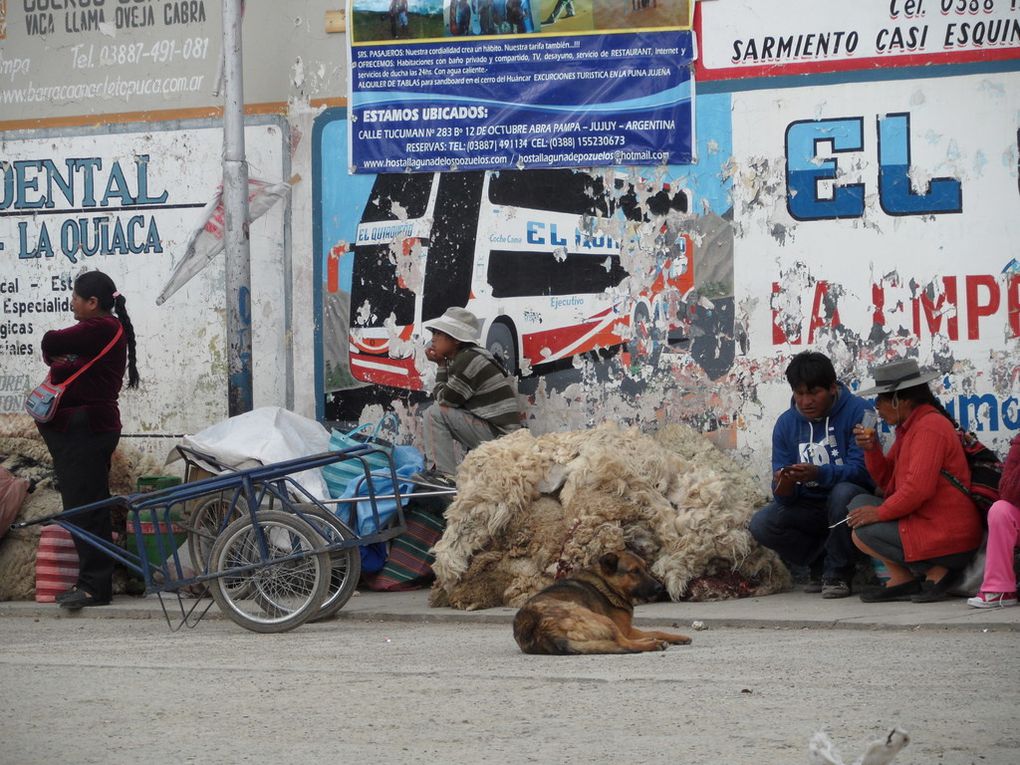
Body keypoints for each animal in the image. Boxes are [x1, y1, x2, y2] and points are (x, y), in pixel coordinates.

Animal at [510, 550, 693, 652]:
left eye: (646, 568)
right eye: (634, 571)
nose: (660, 588)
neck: (608, 584)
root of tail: (541, 629)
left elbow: (658, 631)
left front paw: (677, 637)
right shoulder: (626, 629)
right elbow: (655, 631)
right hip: (602, 619)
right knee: (624, 643)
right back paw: (652, 644)